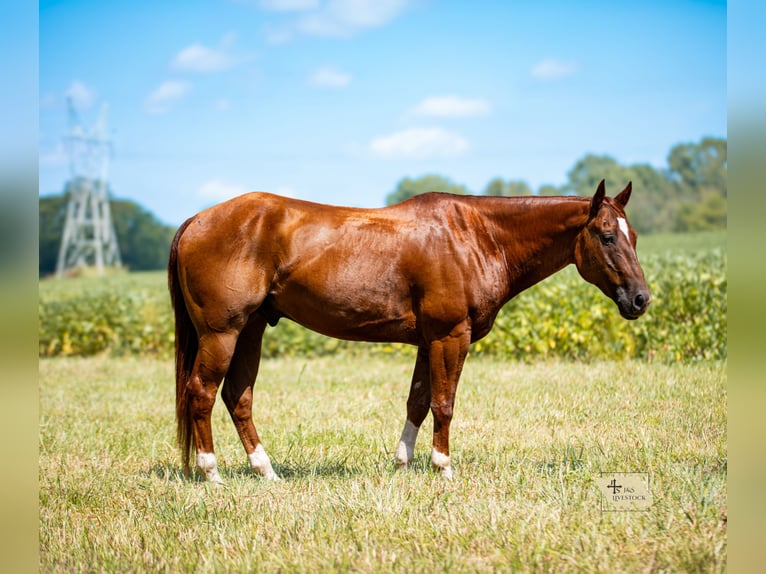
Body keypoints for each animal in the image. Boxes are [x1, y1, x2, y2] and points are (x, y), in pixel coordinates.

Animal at [168, 179, 650, 483]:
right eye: (607, 235)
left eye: (635, 236)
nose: (641, 299)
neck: (475, 236)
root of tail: (196, 219)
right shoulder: (450, 337)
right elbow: (444, 404)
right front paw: (443, 467)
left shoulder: (427, 341)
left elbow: (418, 402)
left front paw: (402, 465)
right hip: (222, 333)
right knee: (202, 393)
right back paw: (212, 474)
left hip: (251, 331)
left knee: (238, 397)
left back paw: (266, 471)